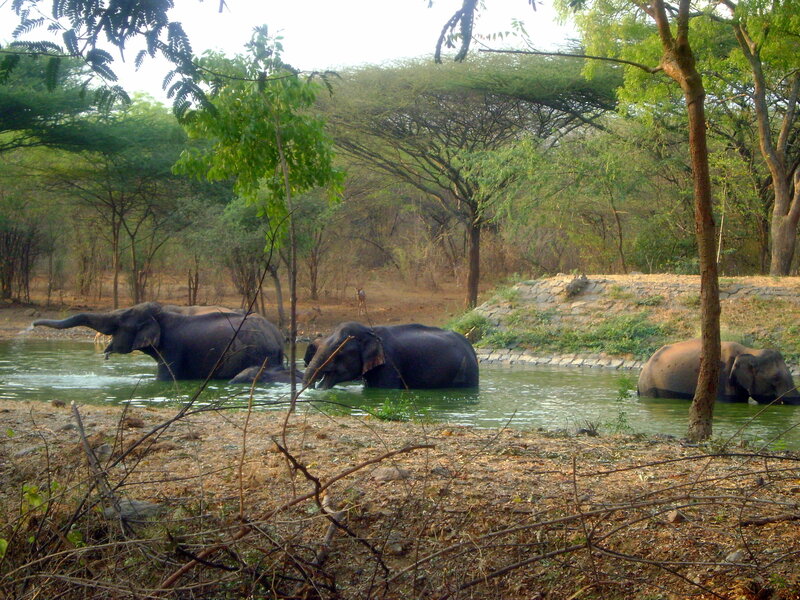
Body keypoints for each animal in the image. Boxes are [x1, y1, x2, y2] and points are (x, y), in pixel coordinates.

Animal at [33, 302, 285, 381]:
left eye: (120, 323)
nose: (33, 324)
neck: (161, 311)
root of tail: (278, 335)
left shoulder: (173, 347)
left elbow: (165, 377)